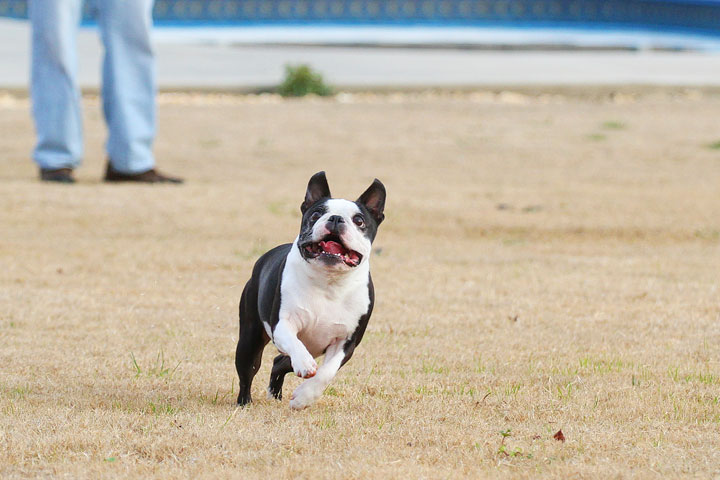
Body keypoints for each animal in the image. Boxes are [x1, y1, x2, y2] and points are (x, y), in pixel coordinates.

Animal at [235, 172, 382, 408]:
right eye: (315, 214)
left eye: (359, 221)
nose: (335, 218)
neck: (328, 281)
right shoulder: (282, 324)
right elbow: (294, 344)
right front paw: (305, 364)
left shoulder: (346, 342)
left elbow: (326, 372)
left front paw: (303, 398)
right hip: (250, 338)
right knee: (248, 370)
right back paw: (244, 403)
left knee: (279, 362)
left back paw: (275, 394)